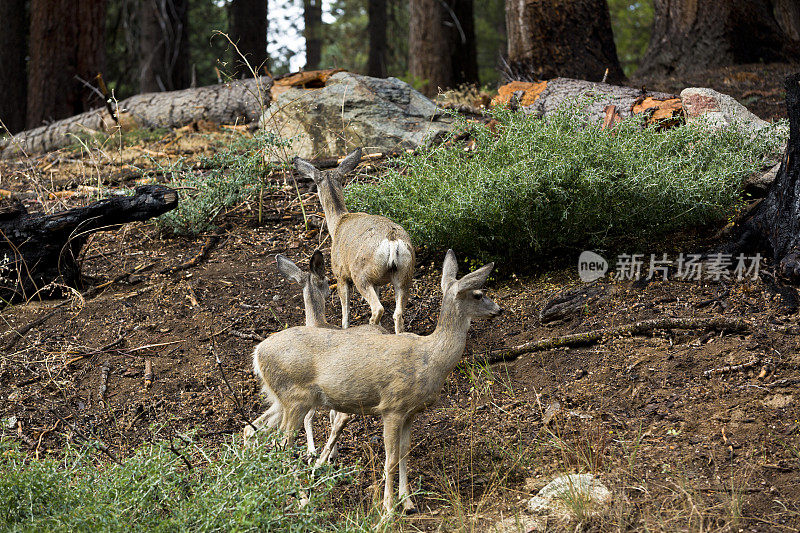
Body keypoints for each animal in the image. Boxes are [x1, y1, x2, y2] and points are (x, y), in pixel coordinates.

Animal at [245, 250, 390, 458]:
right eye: (327, 279)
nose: (330, 291)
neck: (317, 322)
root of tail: (257, 354)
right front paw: (324, 453)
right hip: (293, 397)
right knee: (274, 436)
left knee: (255, 429)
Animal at [296, 148, 418, 332]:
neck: (338, 222)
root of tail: (392, 240)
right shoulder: (377, 282)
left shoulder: (340, 274)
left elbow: (345, 313)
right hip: (404, 274)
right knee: (398, 314)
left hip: (361, 274)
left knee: (378, 308)